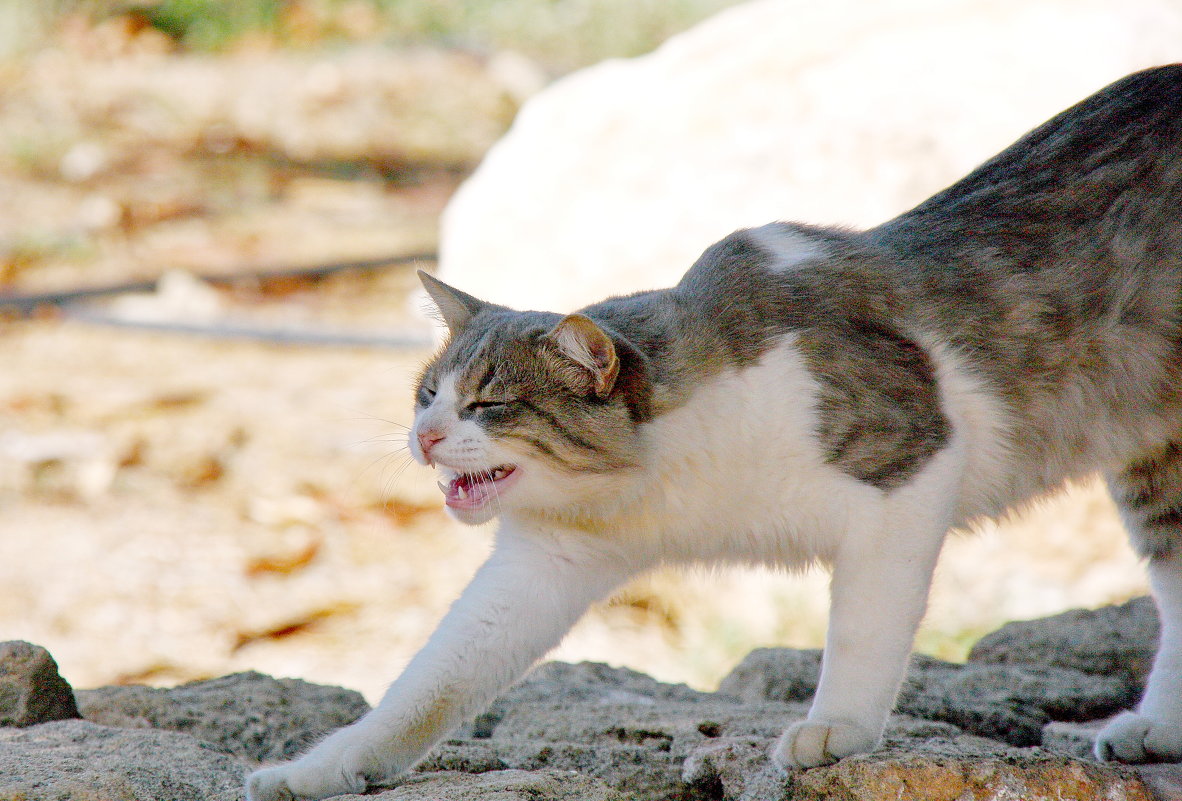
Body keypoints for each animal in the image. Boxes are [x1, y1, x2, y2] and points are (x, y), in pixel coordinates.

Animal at [244, 64, 1182, 801]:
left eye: (489, 404)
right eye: (427, 395)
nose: (428, 438)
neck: (663, 482)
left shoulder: (907, 466)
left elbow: (861, 625)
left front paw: (837, 727)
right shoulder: (542, 565)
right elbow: (426, 683)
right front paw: (317, 768)